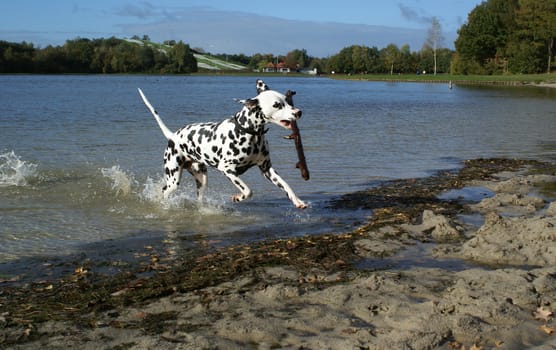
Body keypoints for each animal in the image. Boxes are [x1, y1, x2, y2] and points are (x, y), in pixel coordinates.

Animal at [136, 80, 306, 208]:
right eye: (277, 105)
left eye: (286, 101)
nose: (298, 112)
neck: (249, 133)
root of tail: (173, 136)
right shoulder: (228, 169)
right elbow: (248, 191)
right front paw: (237, 197)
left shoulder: (267, 169)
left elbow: (286, 185)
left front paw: (297, 201)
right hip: (173, 180)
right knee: (163, 191)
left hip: (201, 179)